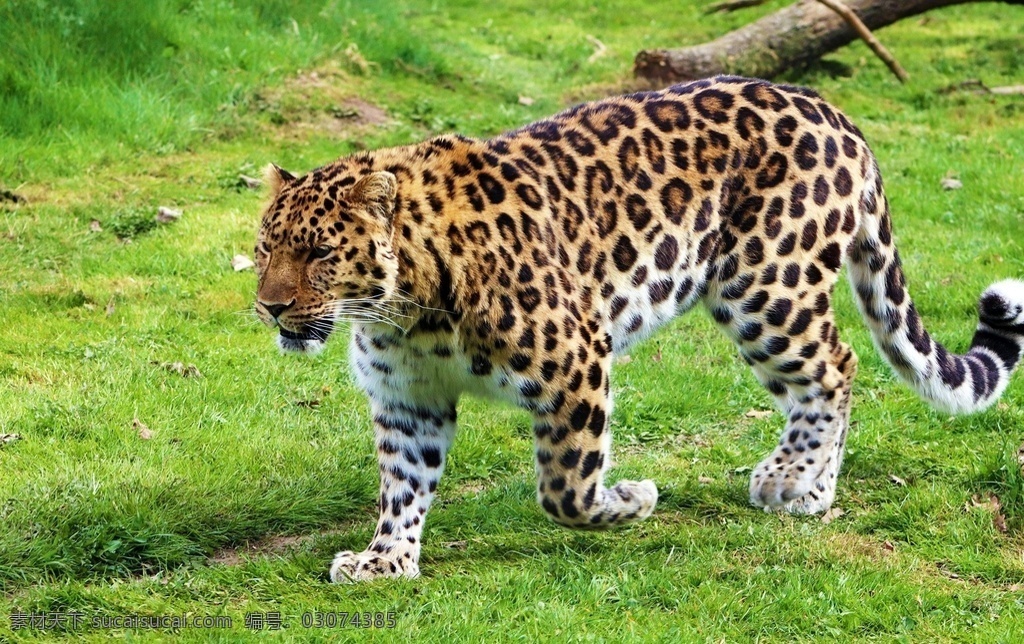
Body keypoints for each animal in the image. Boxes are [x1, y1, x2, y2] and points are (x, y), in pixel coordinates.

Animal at [253, 76, 1024, 583]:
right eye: (265, 249)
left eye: (319, 254)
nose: (270, 307)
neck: (406, 310)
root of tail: (835, 113)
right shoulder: (408, 400)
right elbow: (403, 485)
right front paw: (385, 560)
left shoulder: (575, 360)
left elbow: (565, 489)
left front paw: (631, 500)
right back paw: (813, 490)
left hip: (764, 286)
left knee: (836, 365)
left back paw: (790, 478)